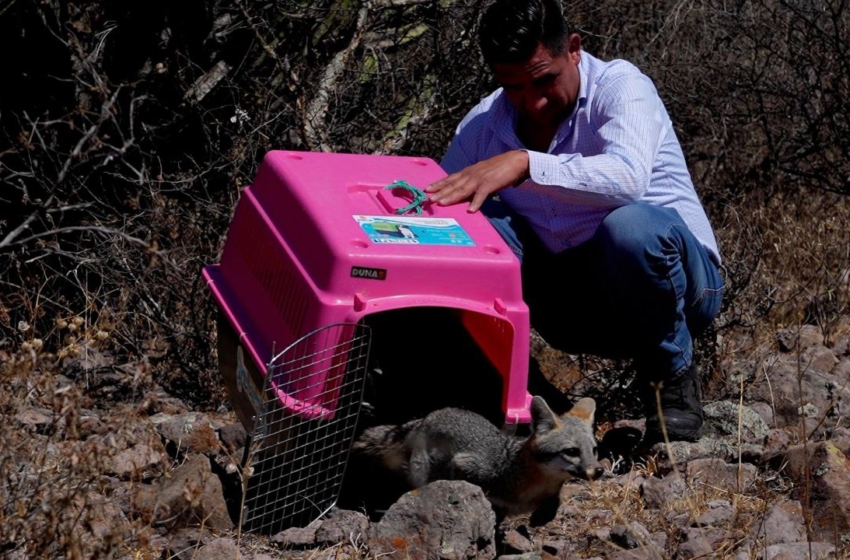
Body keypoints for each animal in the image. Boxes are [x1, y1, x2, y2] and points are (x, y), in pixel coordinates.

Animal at [348, 394, 600, 512]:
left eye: (594, 450)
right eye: (571, 451)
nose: (599, 471)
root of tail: (431, 414)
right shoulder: (466, 464)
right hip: (420, 472)